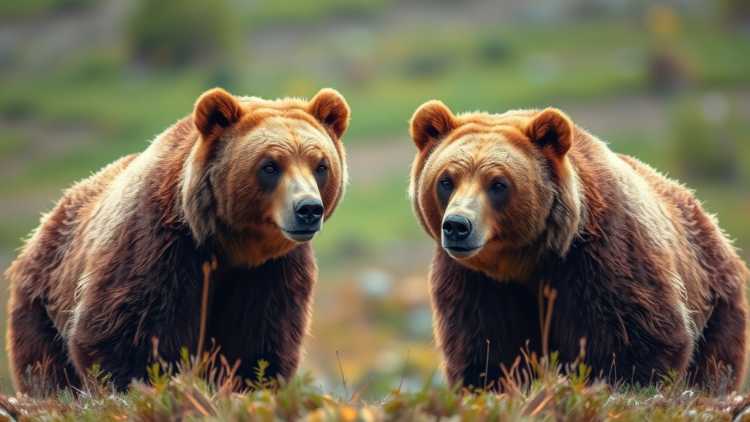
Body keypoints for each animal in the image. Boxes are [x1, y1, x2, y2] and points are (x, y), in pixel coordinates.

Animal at [5, 87, 350, 395]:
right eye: (270, 166)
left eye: (320, 165)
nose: (308, 209)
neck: (230, 245)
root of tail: (51, 215)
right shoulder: (159, 246)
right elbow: (125, 332)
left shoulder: (271, 270)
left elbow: (258, 340)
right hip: (43, 296)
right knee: (44, 365)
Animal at [408, 101, 749, 390]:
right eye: (446, 180)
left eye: (498, 184)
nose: (457, 226)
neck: (524, 260)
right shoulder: (475, 281)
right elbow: (485, 343)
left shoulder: (600, 255)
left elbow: (634, 335)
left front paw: (625, 383)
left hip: (714, 296)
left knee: (714, 363)